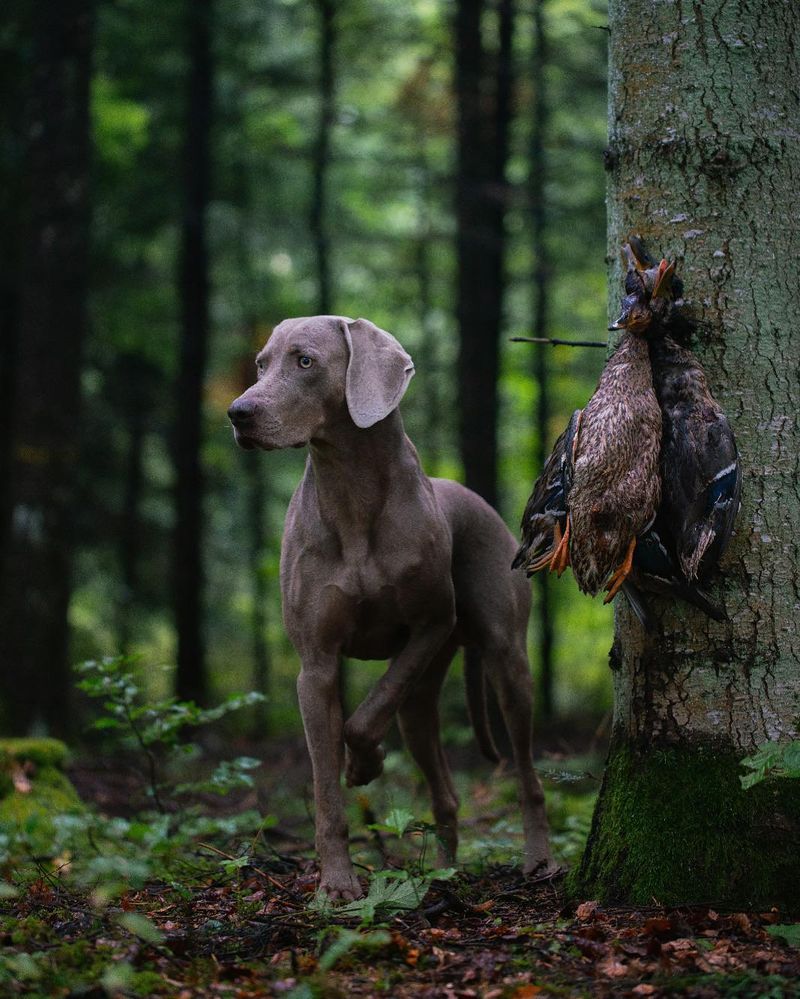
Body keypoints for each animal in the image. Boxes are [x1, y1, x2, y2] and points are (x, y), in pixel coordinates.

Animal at [227, 316, 556, 904]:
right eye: (261, 364)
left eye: (305, 361)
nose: (238, 412)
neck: (352, 494)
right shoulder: (315, 666)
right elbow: (326, 787)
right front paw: (337, 884)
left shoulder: (431, 624)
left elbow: (362, 720)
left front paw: (366, 763)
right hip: (420, 704)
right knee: (444, 790)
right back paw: (443, 871)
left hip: (505, 662)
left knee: (526, 775)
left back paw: (537, 859)